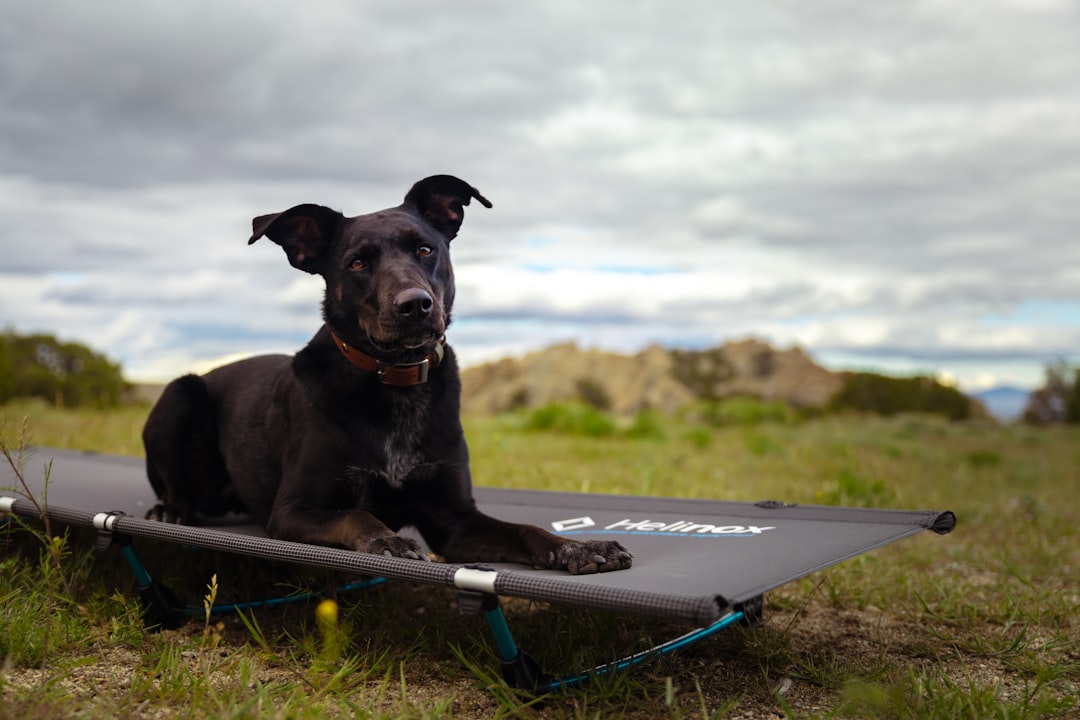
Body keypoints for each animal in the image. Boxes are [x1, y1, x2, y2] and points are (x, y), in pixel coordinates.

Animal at [143, 177, 630, 578]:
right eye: (357, 263)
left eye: (426, 249)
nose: (415, 305)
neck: (395, 379)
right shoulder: (292, 509)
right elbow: (357, 515)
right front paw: (388, 542)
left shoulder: (455, 520)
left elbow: (526, 529)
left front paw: (578, 547)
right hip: (178, 395)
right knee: (177, 488)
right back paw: (168, 513)